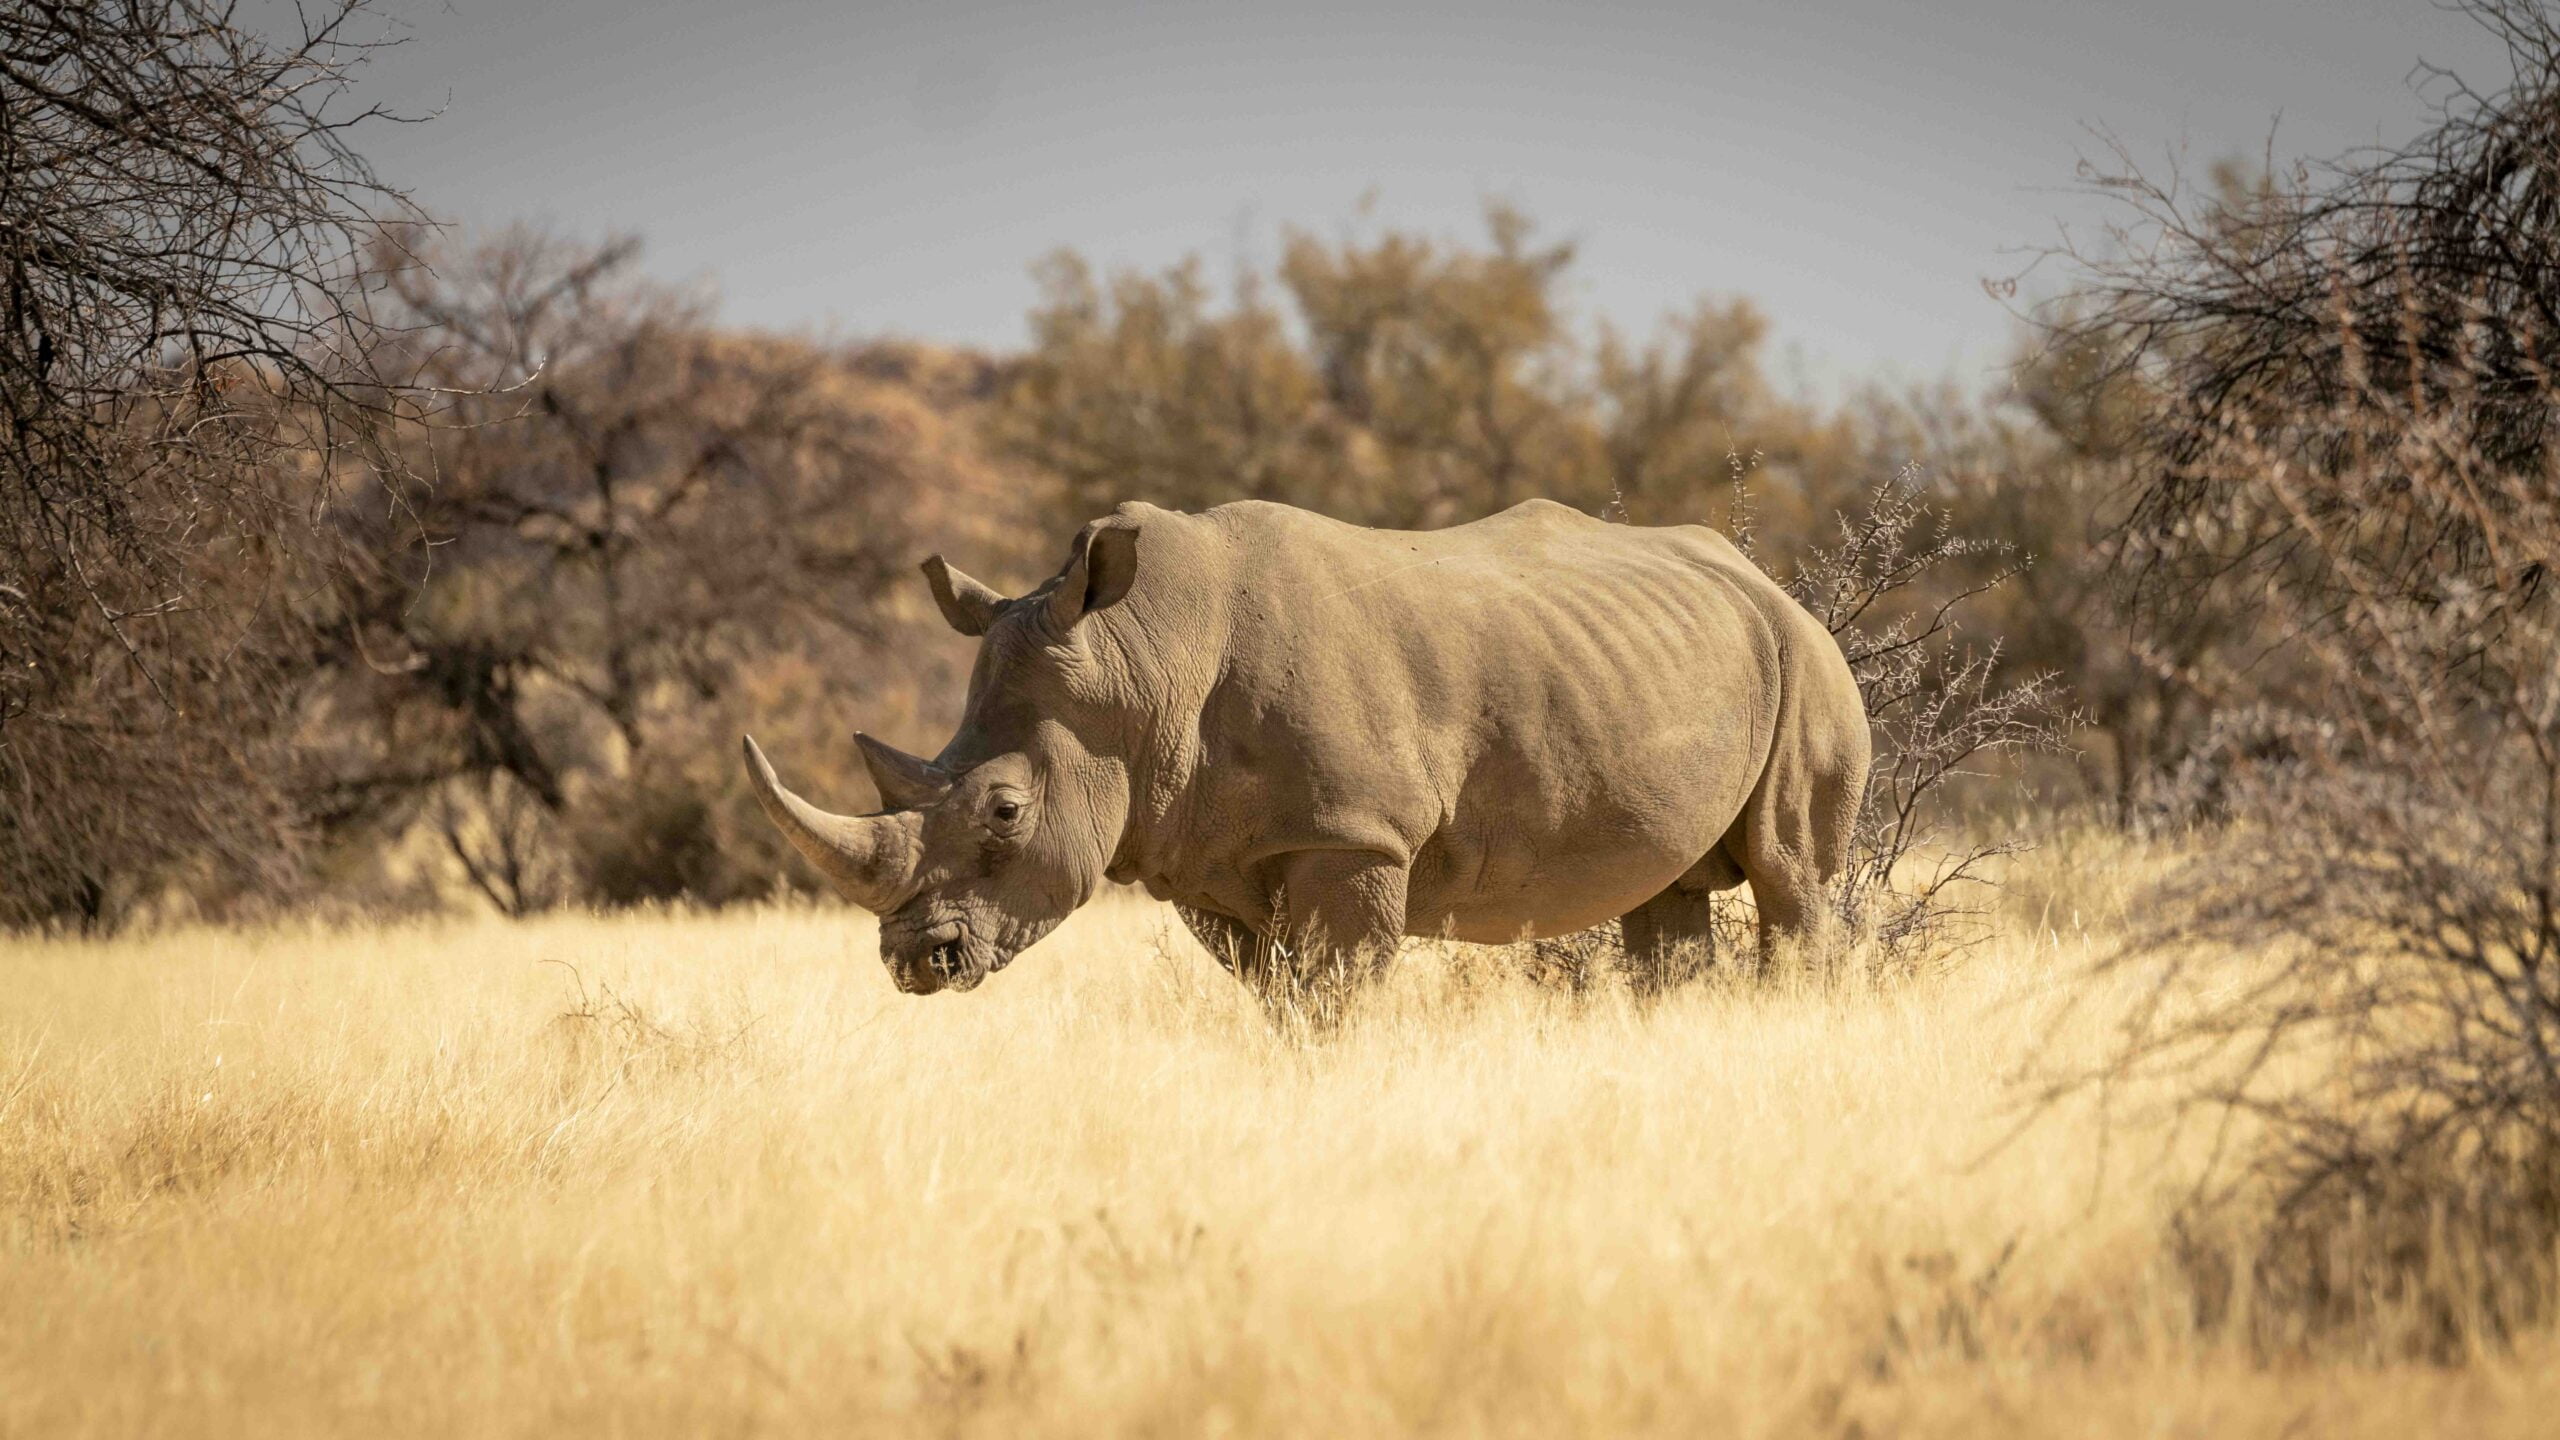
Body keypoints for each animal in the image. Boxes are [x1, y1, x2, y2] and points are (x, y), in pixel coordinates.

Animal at [742, 498, 1870, 996]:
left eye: (1005, 810)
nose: (912, 962)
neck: (1137, 666)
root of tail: (1766, 579)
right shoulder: (1206, 855)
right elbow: (1278, 999)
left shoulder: (1353, 835)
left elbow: (1333, 994)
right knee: (1666, 897)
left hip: (1807, 661)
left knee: (1791, 874)